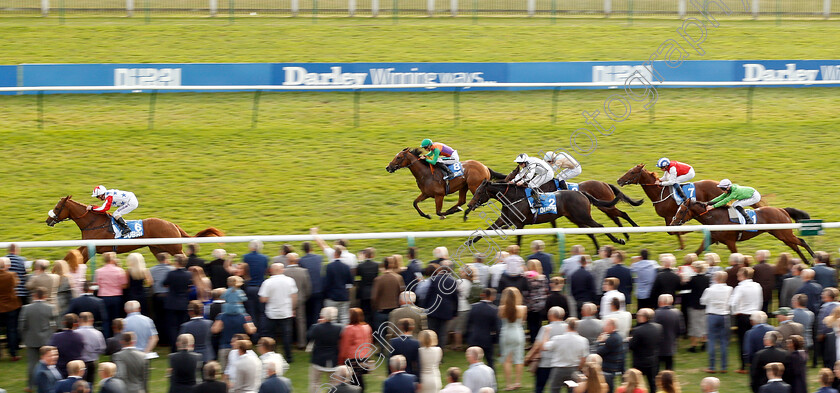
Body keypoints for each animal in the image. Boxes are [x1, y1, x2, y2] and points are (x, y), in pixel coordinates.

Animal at [45, 195, 223, 260]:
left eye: (57, 207)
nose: (48, 220)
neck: (93, 223)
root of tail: (173, 225)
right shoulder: (88, 246)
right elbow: (72, 255)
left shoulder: (95, 248)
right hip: (158, 249)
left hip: (174, 248)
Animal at [462, 180, 628, 250]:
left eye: (479, 192)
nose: (470, 205)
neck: (514, 198)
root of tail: (581, 193)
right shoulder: (504, 219)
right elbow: (487, 230)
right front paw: (469, 242)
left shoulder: (519, 224)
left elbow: (518, 240)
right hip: (575, 218)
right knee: (591, 232)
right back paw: (598, 249)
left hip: (583, 216)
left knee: (600, 226)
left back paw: (619, 240)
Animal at [506, 165, 644, 240]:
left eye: (510, 177)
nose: (508, 183)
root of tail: (604, 183)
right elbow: (552, 222)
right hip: (605, 207)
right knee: (617, 218)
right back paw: (626, 235)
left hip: (606, 206)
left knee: (622, 214)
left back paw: (635, 228)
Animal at [612, 162, 764, 248]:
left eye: (632, 172)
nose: (619, 180)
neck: (659, 192)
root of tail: (719, 184)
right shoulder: (670, 217)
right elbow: (672, 230)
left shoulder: (670, 216)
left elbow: (673, 231)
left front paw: (683, 241)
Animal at [668, 199, 812, 260]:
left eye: (681, 211)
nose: (672, 224)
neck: (716, 219)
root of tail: (782, 210)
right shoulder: (712, 238)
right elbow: (697, 252)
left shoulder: (730, 242)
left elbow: (737, 255)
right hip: (782, 235)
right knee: (796, 246)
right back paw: (806, 262)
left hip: (785, 234)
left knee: (802, 241)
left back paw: (814, 259)